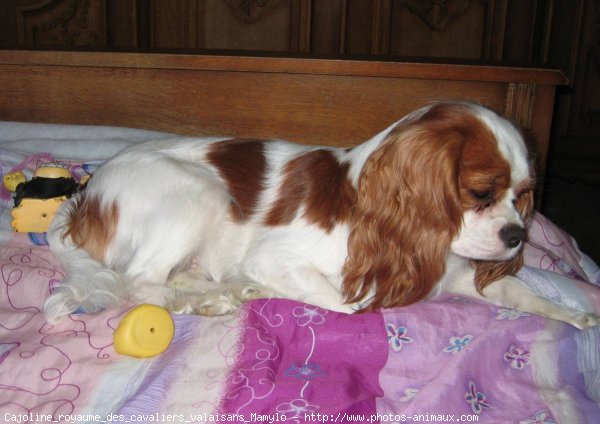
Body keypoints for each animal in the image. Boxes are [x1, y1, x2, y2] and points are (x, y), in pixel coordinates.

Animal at [43, 102, 600, 328]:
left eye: (523, 196)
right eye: (480, 193)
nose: (516, 236)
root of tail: (87, 196)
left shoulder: (460, 274)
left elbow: (518, 292)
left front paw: (576, 314)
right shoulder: (278, 258)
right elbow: (348, 305)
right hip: (200, 192)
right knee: (139, 281)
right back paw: (211, 299)